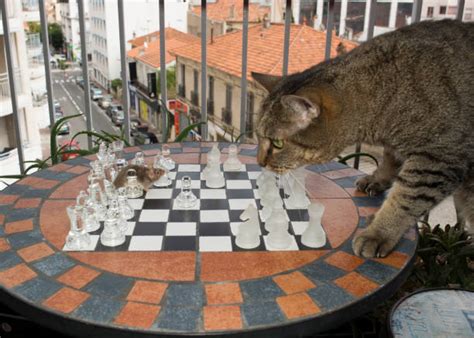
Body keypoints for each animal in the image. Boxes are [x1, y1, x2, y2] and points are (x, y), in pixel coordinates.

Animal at [252, 19, 474, 258]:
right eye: (258, 135)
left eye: (278, 143)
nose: (259, 163)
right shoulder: (398, 145)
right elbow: (390, 158)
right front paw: (378, 179)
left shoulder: (438, 159)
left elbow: (406, 199)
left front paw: (378, 233)